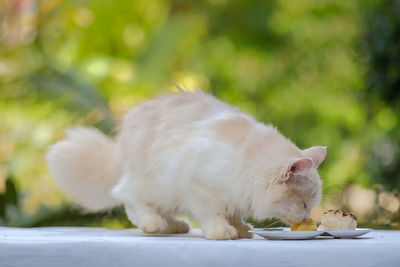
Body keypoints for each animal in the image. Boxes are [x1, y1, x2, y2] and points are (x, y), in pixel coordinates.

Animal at [44, 90, 324, 241]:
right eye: (304, 204)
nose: (306, 218)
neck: (246, 161)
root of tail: (122, 140)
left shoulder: (234, 195)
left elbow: (235, 214)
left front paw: (240, 229)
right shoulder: (199, 188)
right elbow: (212, 215)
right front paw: (222, 232)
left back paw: (174, 226)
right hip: (151, 183)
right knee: (130, 201)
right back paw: (154, 224)